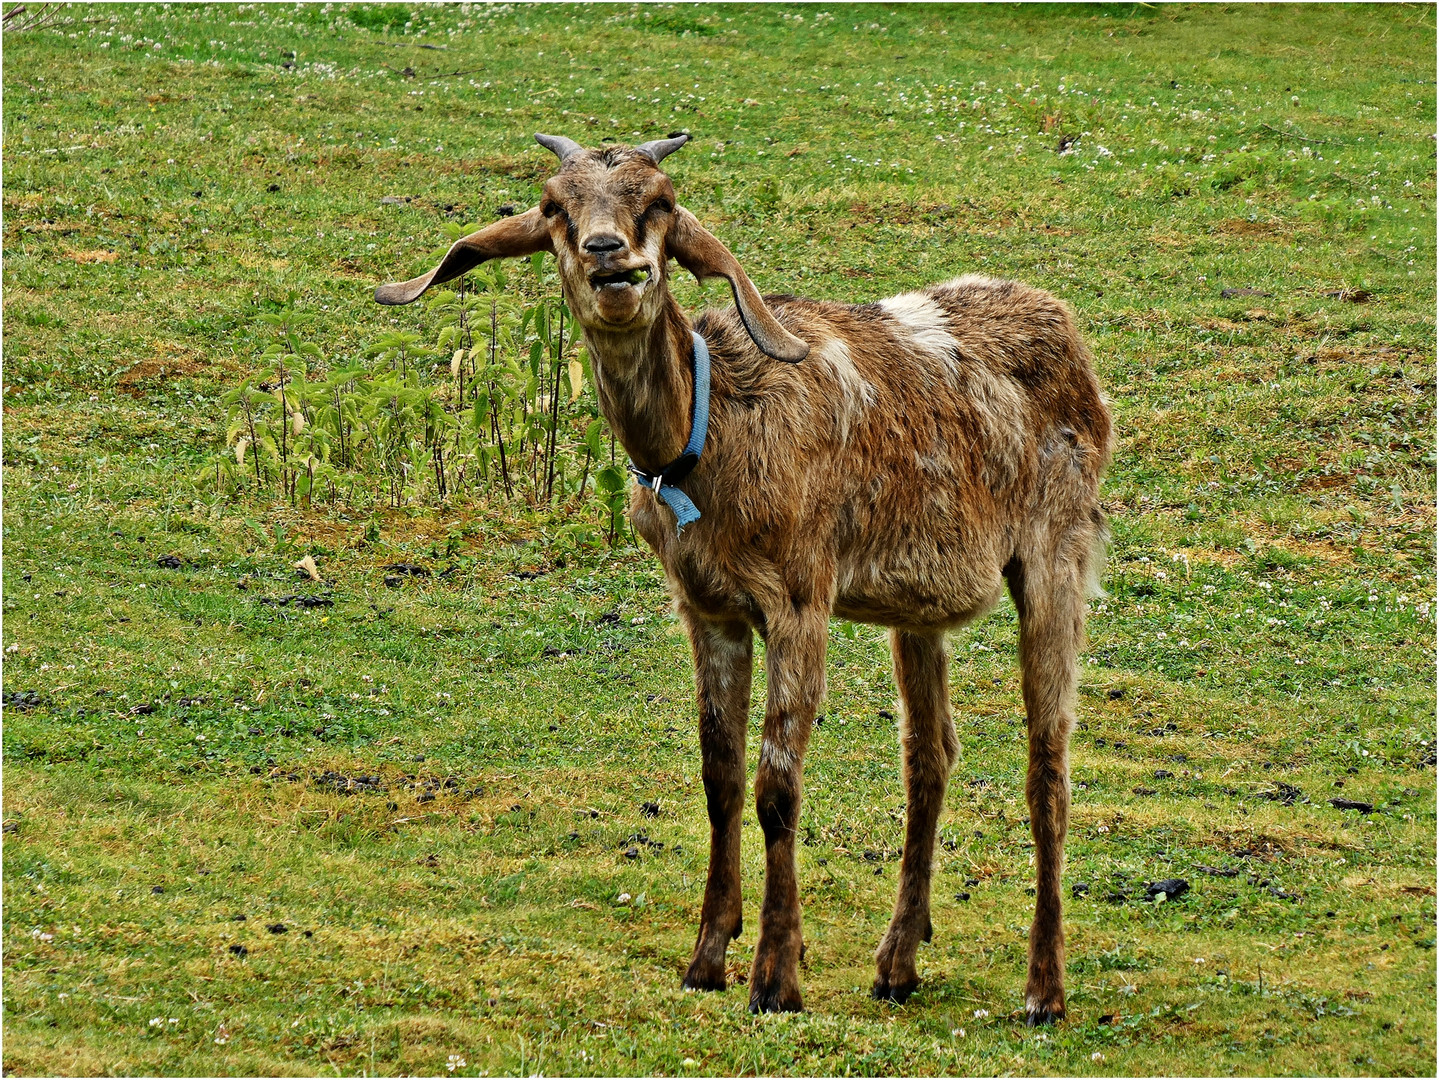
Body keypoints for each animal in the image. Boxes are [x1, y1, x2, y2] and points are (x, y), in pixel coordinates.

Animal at [374, 135, 1110, 1023]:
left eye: (659, 201)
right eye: (553, 205)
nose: (608, 256)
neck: (711, 427)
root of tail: (1064, 330)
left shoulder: (800, 597)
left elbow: (775, 786)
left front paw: (775, 976)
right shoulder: (707, 608)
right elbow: (718, 774)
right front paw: (705, 957)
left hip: (1056, 551)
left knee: (1047, 767)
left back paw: (1042, 990)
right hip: (917, 606)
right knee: (928, 755)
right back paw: (896, 962)